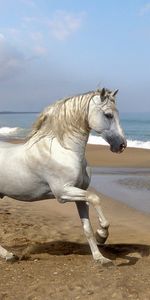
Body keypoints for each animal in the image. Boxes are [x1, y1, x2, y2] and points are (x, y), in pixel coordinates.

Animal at [0, 88, 126, 266]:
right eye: (108, 115)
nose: (122, 145)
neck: (64, 150)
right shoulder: (63, 193)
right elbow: (95, 198)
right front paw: (102, 235)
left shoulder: (79, 194)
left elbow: (87, 228)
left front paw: (100, 258)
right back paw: (8, 256)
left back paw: (9, 255)